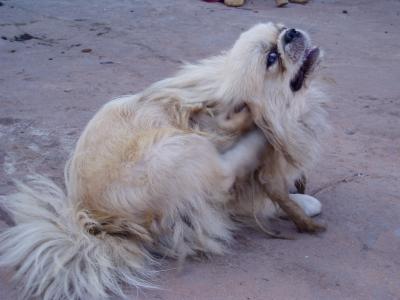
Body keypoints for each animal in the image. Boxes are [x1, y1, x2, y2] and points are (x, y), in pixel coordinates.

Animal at [0, 24, 328, 300]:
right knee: (224, 169)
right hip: (181, 148)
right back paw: (255, 134)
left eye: (279, 29)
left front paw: (300, 202)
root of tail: (99, 221)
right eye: (272, 58)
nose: (290, 32)